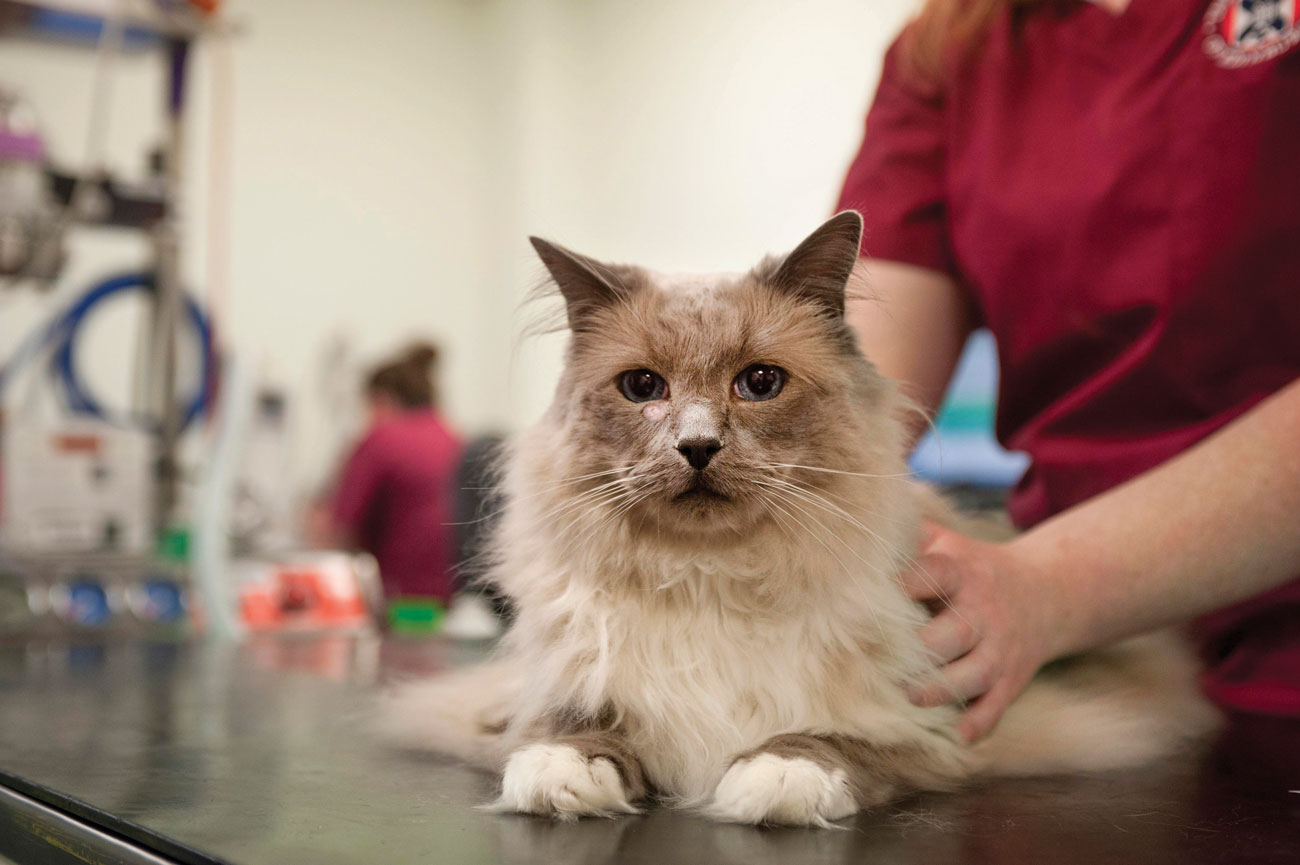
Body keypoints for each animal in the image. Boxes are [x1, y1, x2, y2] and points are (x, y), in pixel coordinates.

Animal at [379, 212, 1216, 827]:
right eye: (643, 386)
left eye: (759, 383)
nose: (696, 446)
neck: (707, 579)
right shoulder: (563, 689)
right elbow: (560, 731)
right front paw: (564, 776)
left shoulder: (934, 729)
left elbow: (831, 740)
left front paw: (773, 776)